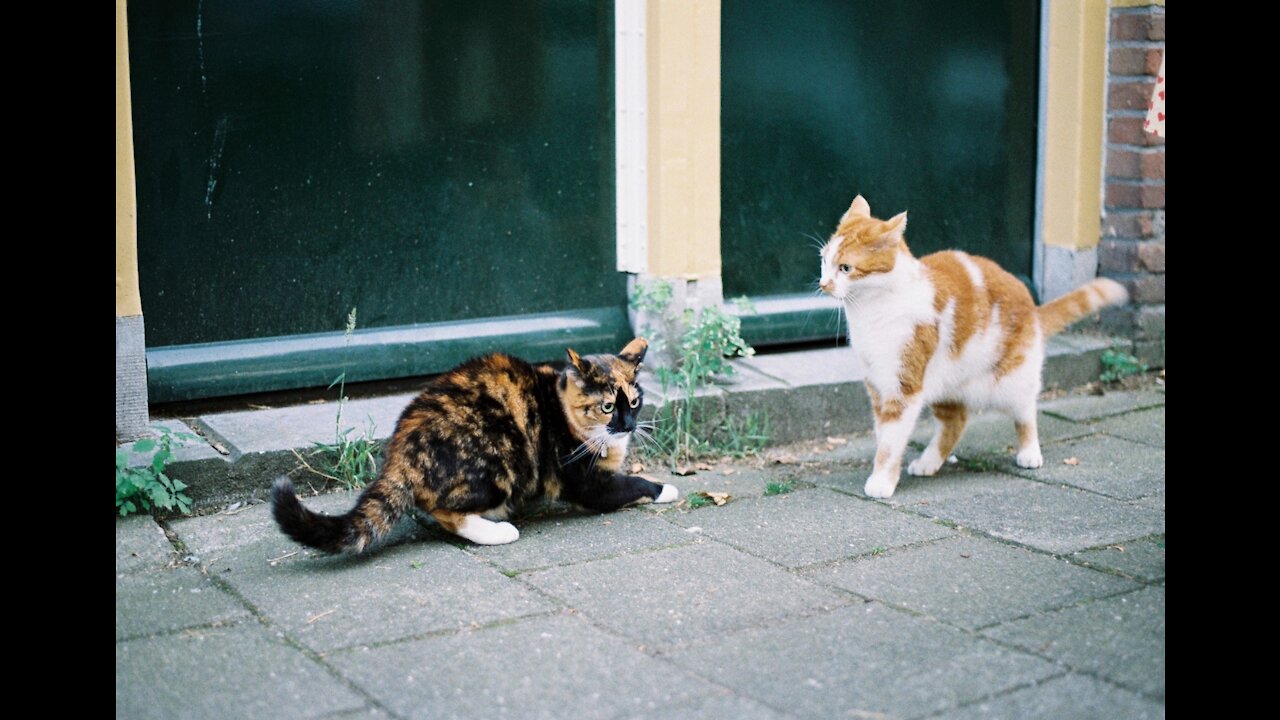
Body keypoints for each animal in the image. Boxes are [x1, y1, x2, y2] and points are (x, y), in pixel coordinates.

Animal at [271, 338, 680, 545]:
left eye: (634, 402)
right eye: (607, 406)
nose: (628, 425)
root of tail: (401, 456)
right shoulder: (585, 481)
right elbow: (630, 485)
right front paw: (666, 488)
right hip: (501, 458)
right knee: (446, 512)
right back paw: (498, 531)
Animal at [819, 196, 1131, 499]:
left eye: (845, 268)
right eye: (824, 260)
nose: (823, 284)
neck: (872, 312)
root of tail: (1032, 305)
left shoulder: (903, 388)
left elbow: (890, 443)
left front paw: (882, 481)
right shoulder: (877, 386)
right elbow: (883, 434)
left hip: (1013, 379)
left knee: (1026, 412)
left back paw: (1029, 452)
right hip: (946, 382)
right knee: (956, 421)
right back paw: (929, 463)